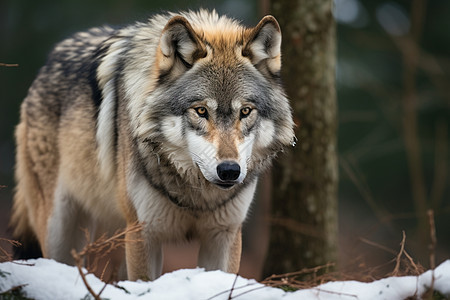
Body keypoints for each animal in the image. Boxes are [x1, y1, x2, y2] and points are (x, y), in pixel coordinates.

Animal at [10, 9, 296, 282]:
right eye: (201, 111)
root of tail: (47, 62)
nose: (229, 171)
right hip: (59, 231)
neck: (195, 195)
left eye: (245, 111)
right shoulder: (143, 232)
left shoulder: (224, 234)